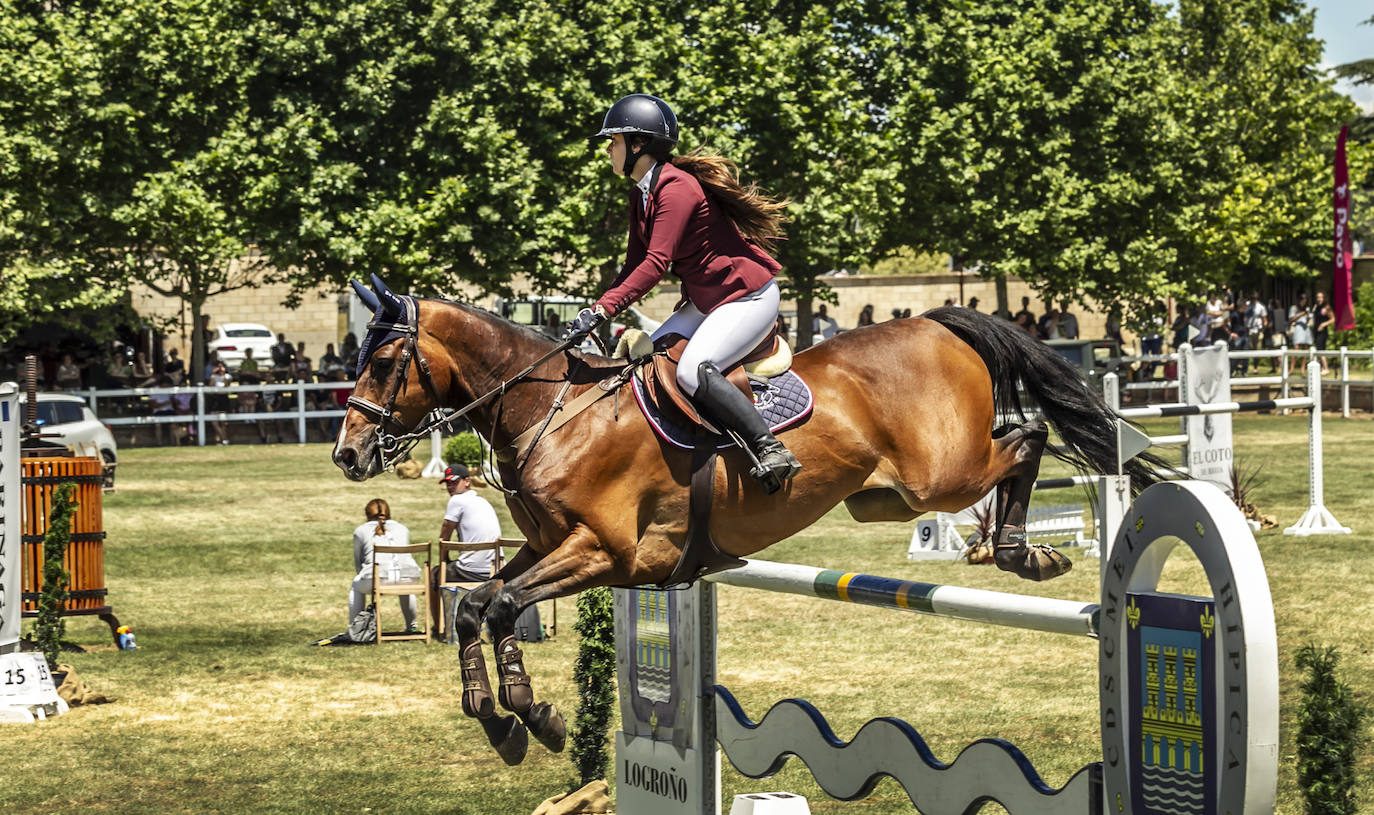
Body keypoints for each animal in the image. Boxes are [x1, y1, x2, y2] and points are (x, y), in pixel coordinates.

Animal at [332, 277, 1159, 764]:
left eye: (384, 362)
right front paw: (500, 717)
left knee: (1028, 438)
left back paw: (1023, 551)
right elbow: (479, 604)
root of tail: (934, 322)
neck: (555, 411)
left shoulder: (605, 552)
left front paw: (532, 714)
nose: (347, 453)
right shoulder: (545, 547)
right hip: (886, 495)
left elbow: (502, 604)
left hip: (939, 476)